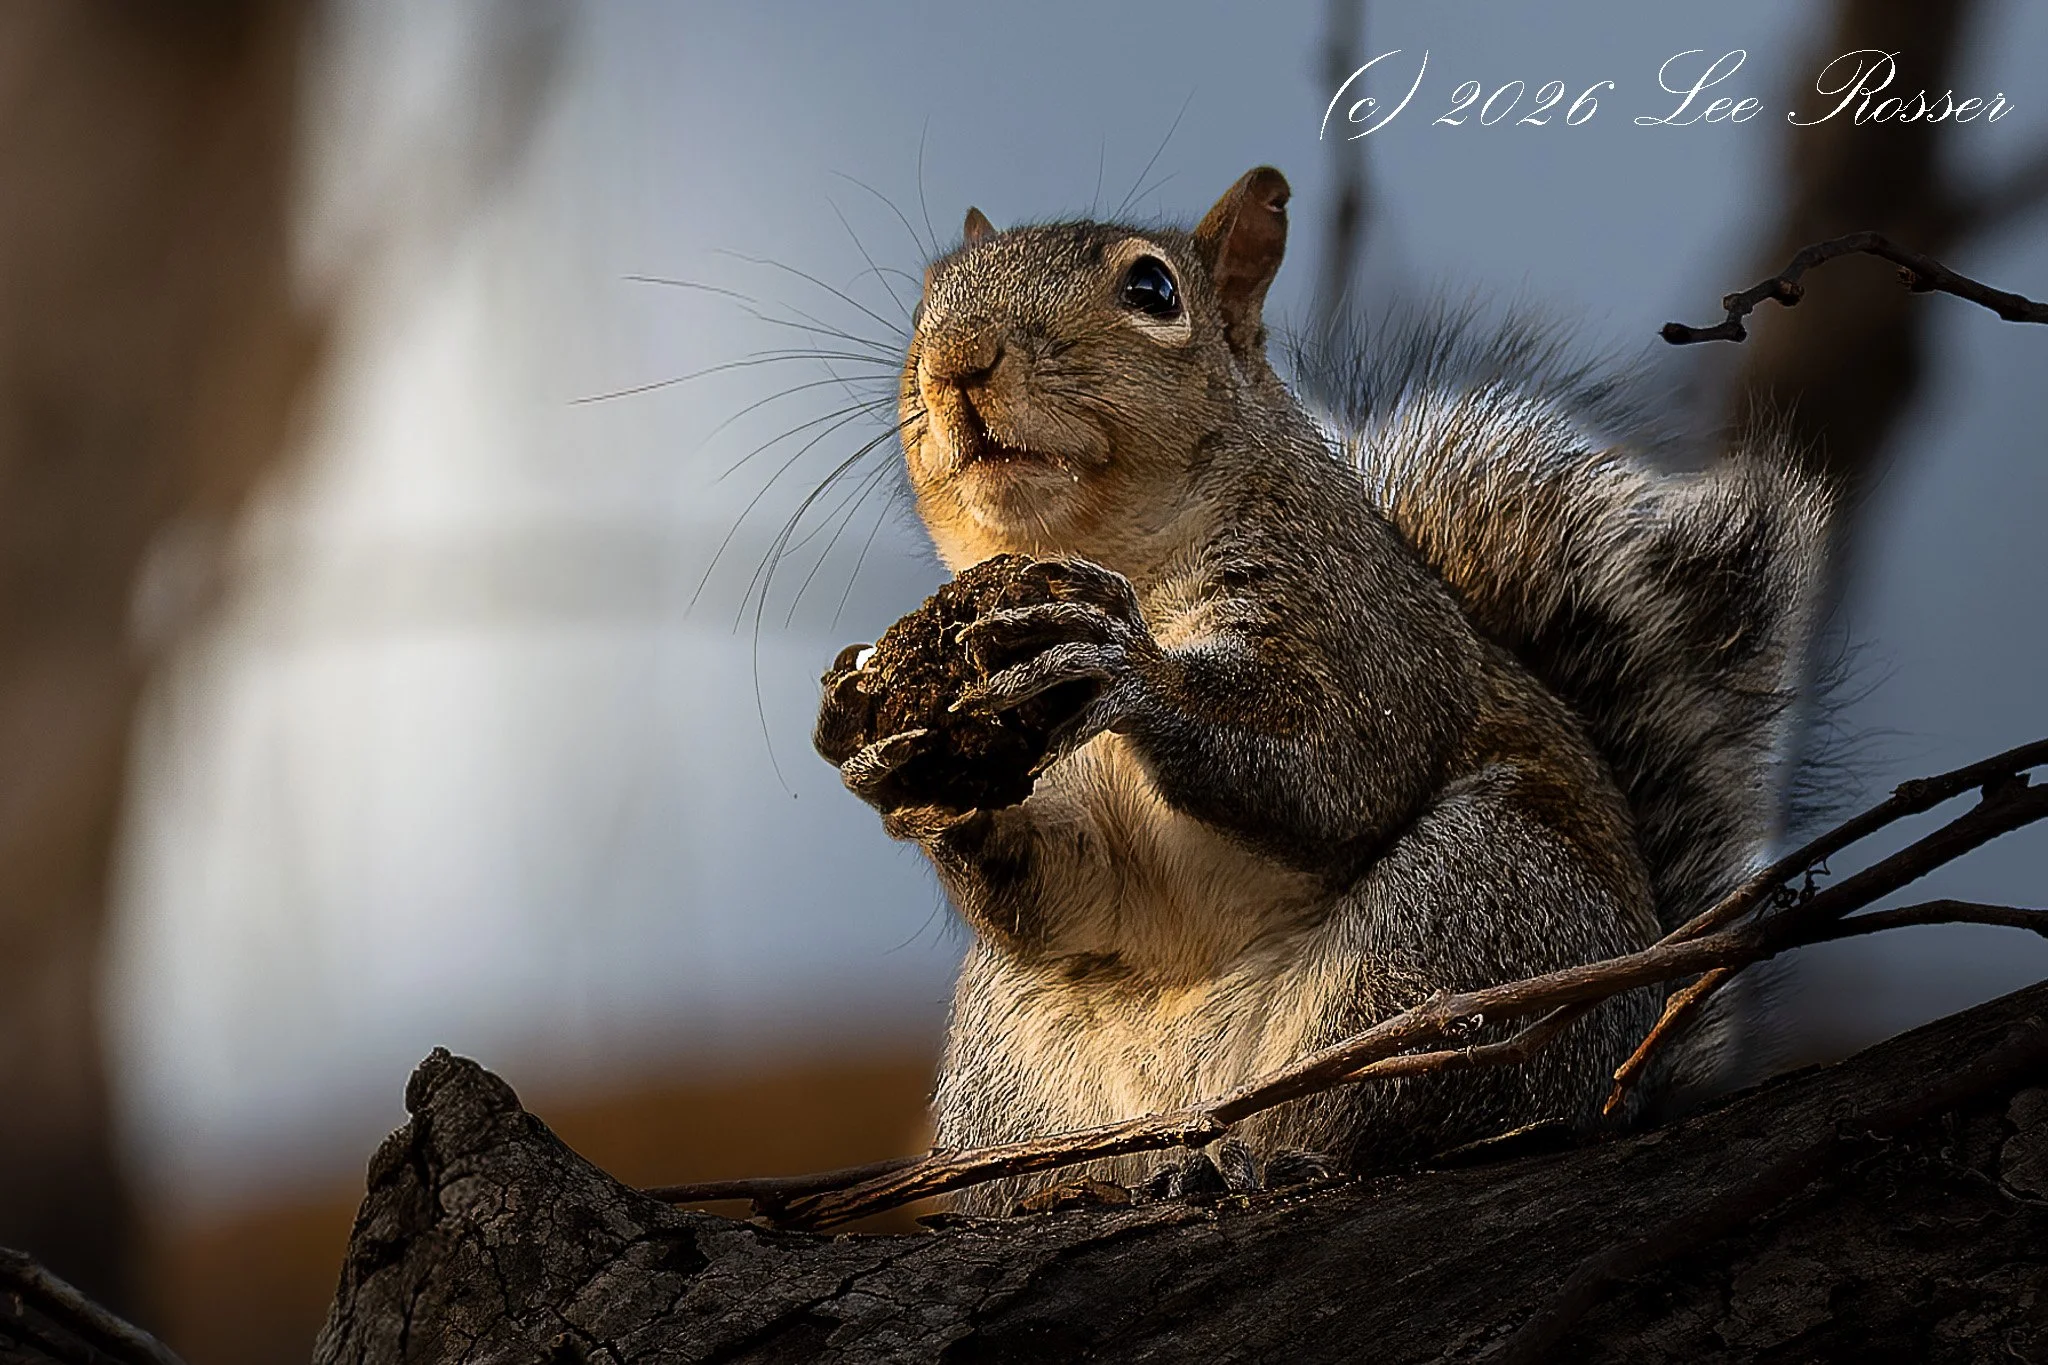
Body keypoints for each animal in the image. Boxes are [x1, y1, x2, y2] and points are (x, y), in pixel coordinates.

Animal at [811, 166, 1828, 1214]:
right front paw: (904, 773)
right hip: (1012, 1055)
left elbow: (1331, 767)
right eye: (928, 298)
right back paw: (1093, 1186)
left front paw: (1127, 667)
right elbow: (1056, 894)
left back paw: (1290, 1156)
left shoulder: (1364, 631)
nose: (958, 360)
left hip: (1464, 923)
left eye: (1152, 290)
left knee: (1396, 1106)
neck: (1116, 556)